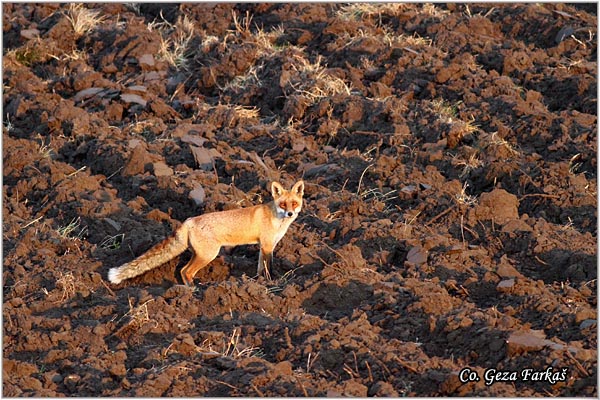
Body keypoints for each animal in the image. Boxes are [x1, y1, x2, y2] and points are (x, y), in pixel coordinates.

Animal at [108, 180, 304, 286]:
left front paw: (258, 281)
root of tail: (189, 221)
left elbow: (260, 268)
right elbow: (269, 267)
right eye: (283, 204)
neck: (276, 220)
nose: (290, 214)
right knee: (186, 271)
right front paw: (271, 282)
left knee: (183, 271)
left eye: (294, 203)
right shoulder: (268, 246)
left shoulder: (264, 246)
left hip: (200, 254)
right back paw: (194, 292)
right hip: (209, 254)